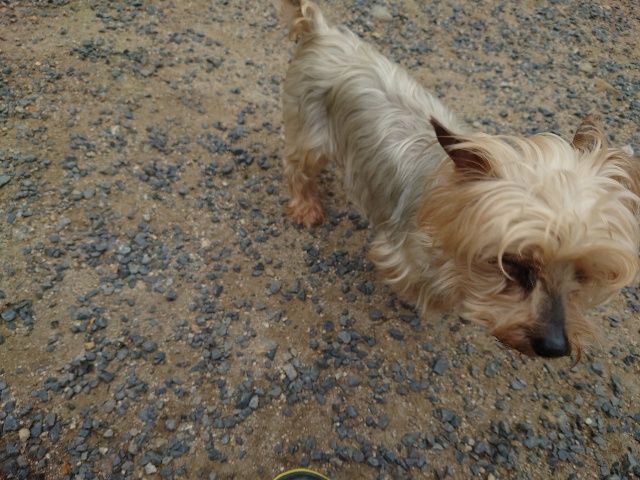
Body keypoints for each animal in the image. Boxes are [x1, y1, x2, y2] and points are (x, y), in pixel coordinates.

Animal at [278, 0, 640, 359]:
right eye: (513, 265)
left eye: (582, 274)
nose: (555, 347)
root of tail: (321, 31)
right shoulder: (404, 257)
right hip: (309, 128)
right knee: (298, 167)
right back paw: (307, 207)